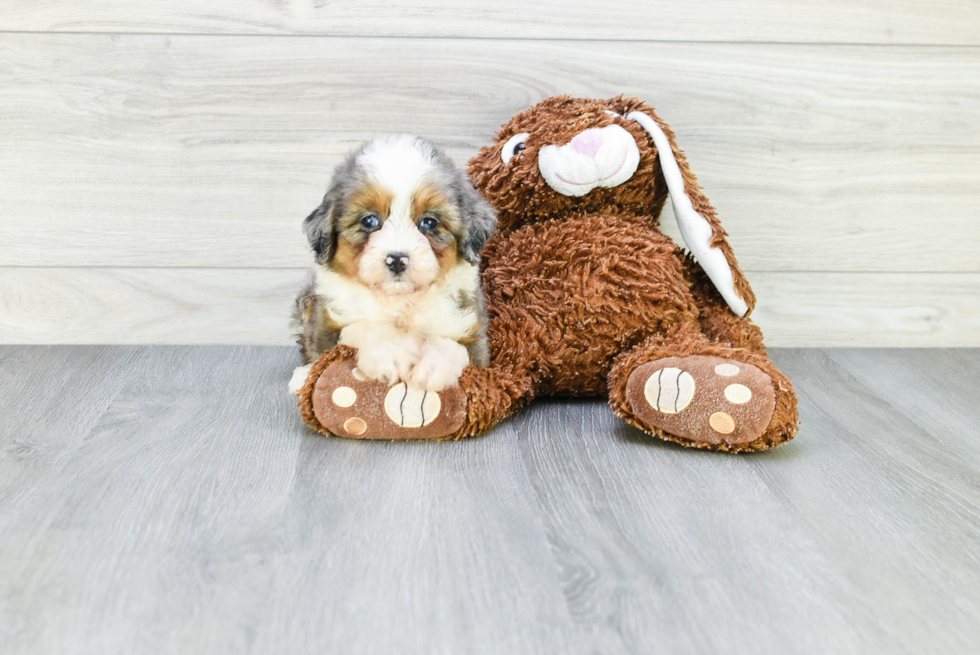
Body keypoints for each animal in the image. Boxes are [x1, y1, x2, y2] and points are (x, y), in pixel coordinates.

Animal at [288, 135, 494, 394]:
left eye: (429, 222)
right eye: (369, 221)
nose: (396, 260)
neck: (401, 301)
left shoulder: (473, 334)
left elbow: (455, 346)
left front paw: (434, 365)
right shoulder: (326, 327)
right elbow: (361, 328)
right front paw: (394, 352)